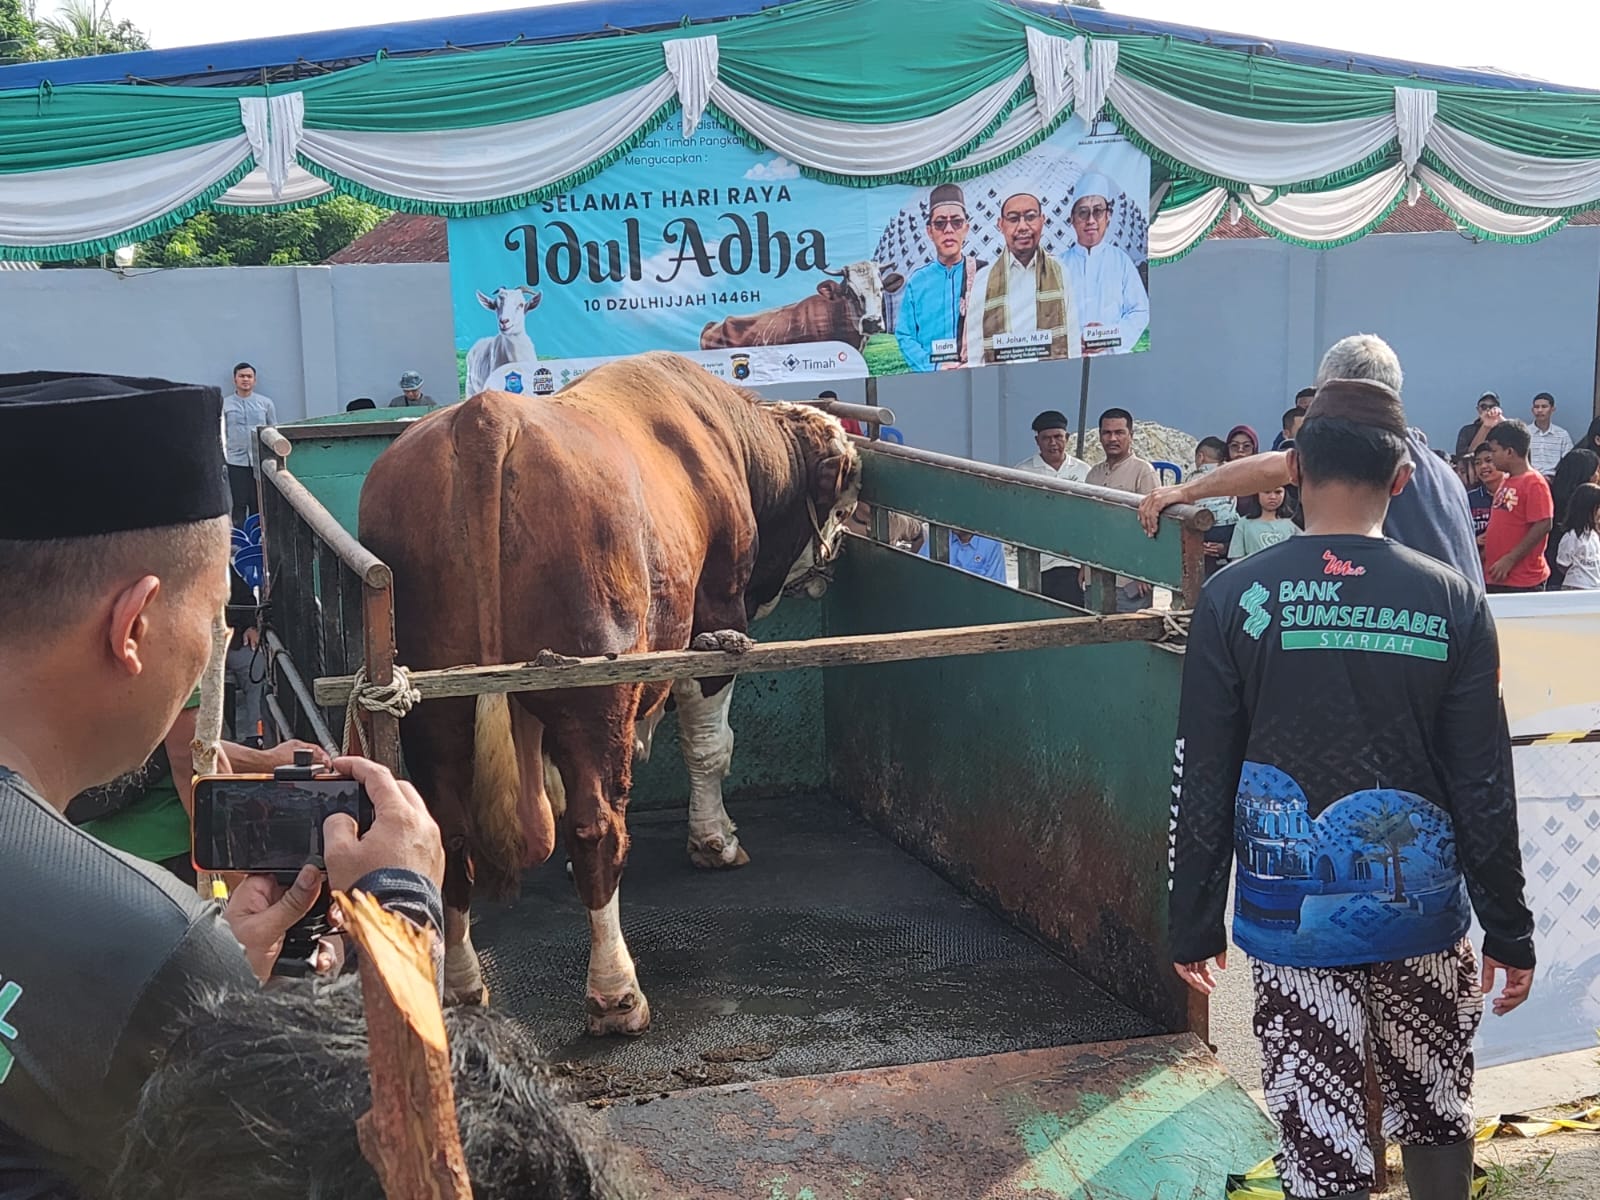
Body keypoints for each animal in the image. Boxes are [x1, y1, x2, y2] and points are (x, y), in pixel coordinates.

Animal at [358, 352, 861, 1035]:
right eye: (846, 499)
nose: (833, 562)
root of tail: (485, 418)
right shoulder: (716, 617)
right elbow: (710, 746)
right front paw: (715, 840)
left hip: (439, 710)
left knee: (450, 835)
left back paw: (461, 987)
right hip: (592, 689)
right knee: (596, 827)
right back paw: (617, 993)